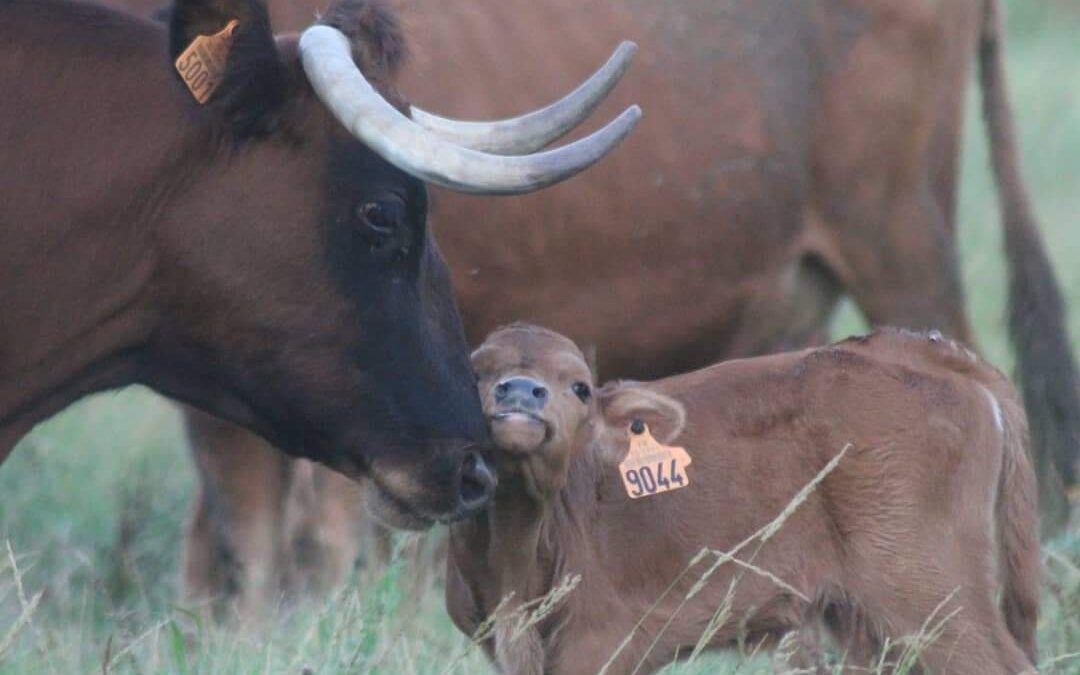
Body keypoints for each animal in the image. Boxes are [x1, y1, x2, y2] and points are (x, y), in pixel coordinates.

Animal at [447, 324, 1036, 669]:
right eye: (475, 372)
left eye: (580, 387)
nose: (521, 392)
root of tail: (920, 349)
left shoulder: (599, 645)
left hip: (931, 597)